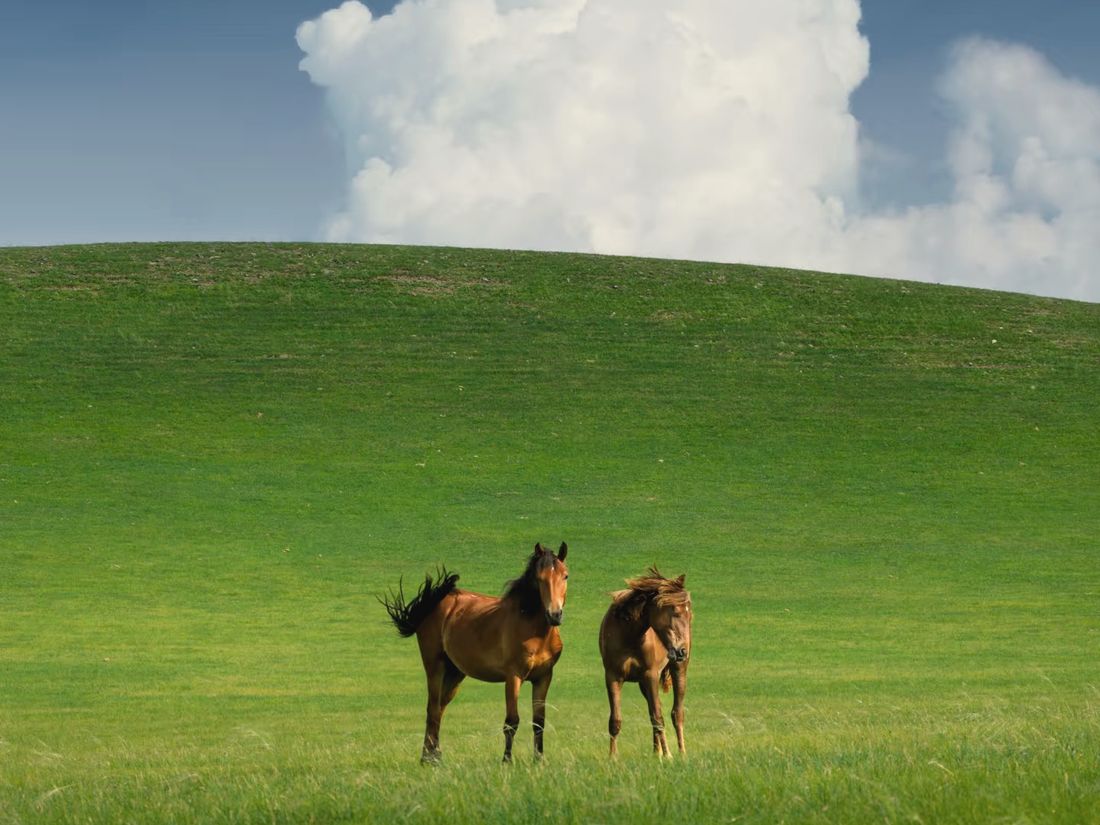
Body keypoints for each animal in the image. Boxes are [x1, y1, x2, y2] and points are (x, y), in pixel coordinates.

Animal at [381, 542, 569, 763]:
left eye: (565, 576)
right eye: (539, 578)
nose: (554, 615)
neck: (534, 629)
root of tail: (437, 602)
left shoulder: (543, 677)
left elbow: (539, 722)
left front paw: (539, 760)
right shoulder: (513, 676)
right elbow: (511, 721)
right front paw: (506, 761)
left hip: (455, 672)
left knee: (440, 708)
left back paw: (433, 754)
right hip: (435, 666)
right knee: (433, 709)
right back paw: (430, 759)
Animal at [598, 567, 692, 757]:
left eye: (689, 615)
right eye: (675, 611)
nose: (682, 651)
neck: (629, 634)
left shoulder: (651, 675)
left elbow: (658, 717)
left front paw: (668, 756)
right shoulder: (613, 677)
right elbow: (615, 720)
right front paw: (612, 757)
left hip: (677, 669)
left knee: (676, 713)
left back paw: (681, 753)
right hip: (643, 683)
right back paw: (656, 753)